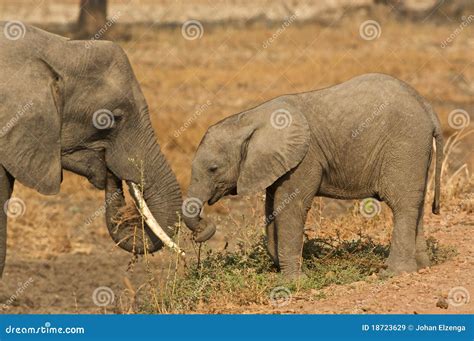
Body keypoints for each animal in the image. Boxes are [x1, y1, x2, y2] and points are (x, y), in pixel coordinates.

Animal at [182, 73, 444, 278]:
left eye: (213, 168)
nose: (204, 228)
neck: (250, 118)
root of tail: (428, 108)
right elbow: (272, 209)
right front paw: (283, 269)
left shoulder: (304, 158)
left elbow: (291, 207)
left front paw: (292, 280)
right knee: (416, 203)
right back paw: (422, 267)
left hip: (404, 144)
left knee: (402, 204)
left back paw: (394, 273)